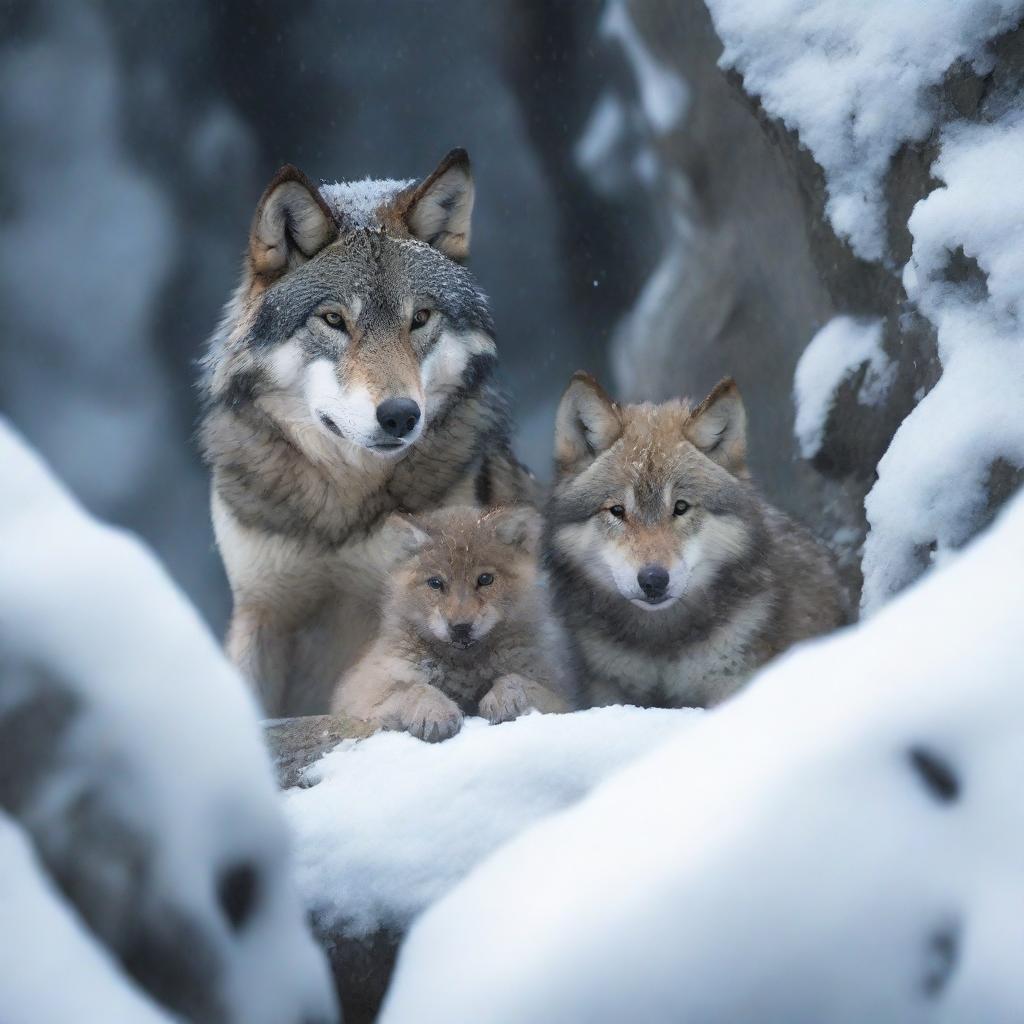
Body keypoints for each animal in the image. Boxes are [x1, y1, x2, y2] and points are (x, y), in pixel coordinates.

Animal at [331, 505, 573, 741]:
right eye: (435, 583)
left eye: (485, 579)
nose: (461, 628)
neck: (463, 666)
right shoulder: (366, 697)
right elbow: (417, 689)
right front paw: (435, 714)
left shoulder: (559, 695)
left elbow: (517, 680)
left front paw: (505, 698)